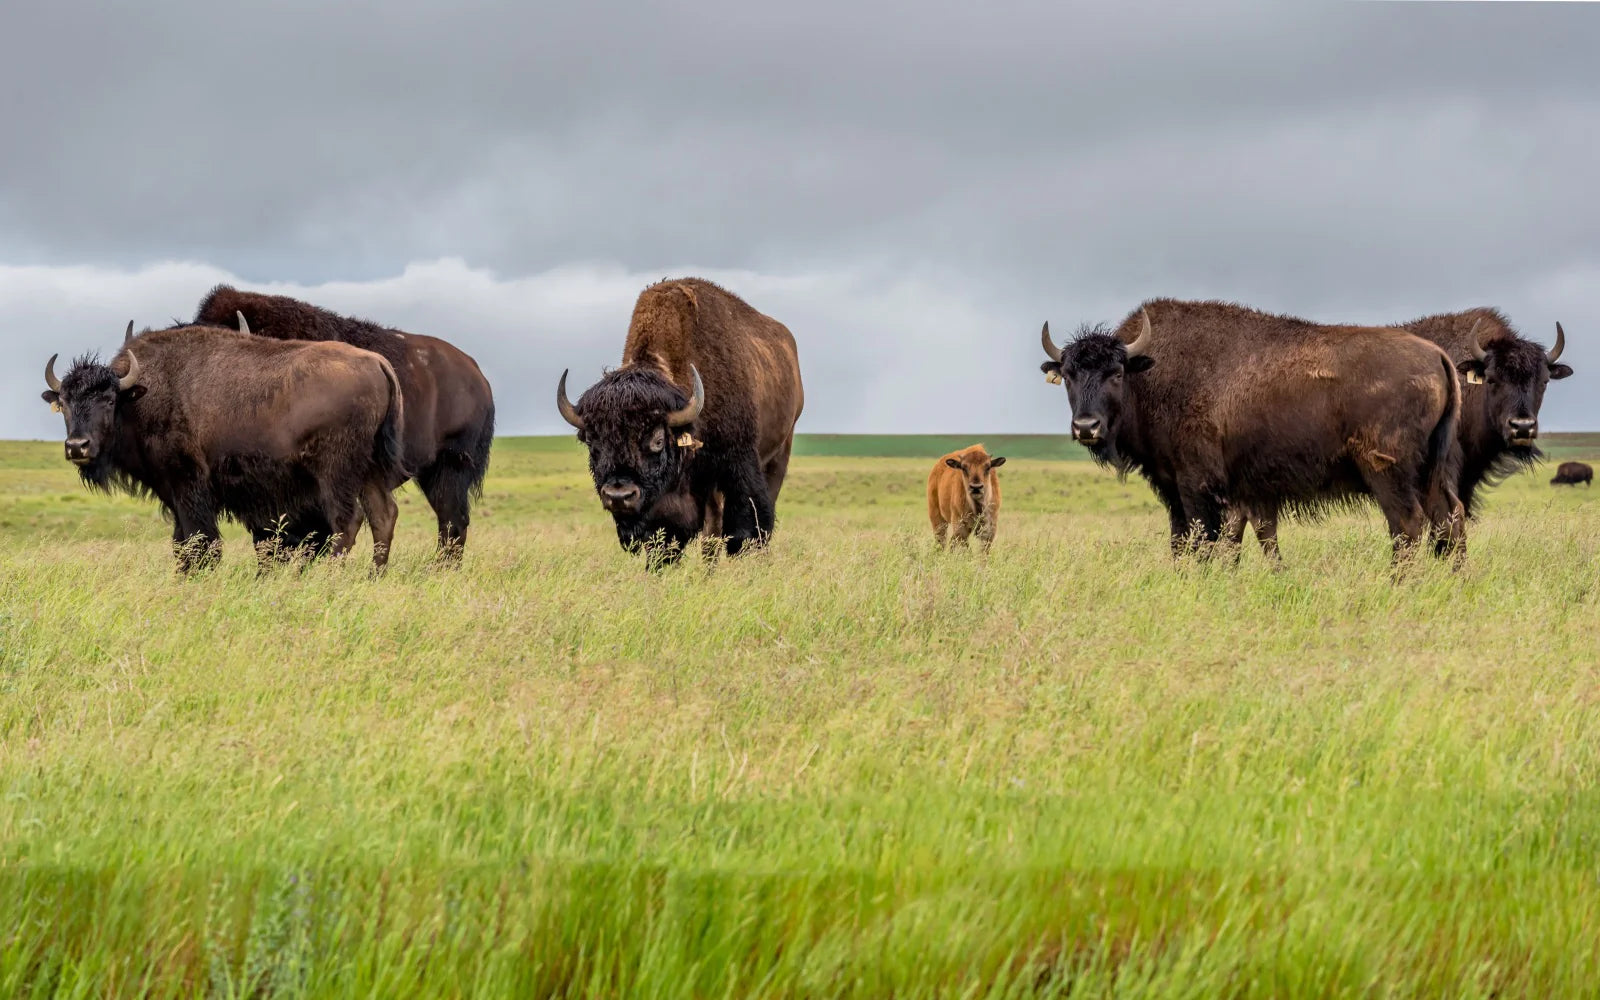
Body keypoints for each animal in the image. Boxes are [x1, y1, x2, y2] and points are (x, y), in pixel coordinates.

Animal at [42, 321, 407, 571]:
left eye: (108, 400)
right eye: (65, 403)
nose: (77, 446)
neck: (141, 396)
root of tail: (377, 362)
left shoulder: (189, 487)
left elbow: (200, 541)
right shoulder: (175, 495)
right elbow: (182, 542)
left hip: (336, 473)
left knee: (347, 521)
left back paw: (331, 576)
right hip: (371, 469)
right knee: (383, 515)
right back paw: (374, 576)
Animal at [556, 278, 804, 564]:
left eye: (658, 440)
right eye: (592, 443)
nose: (619, 495)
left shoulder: (738, 464)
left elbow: (745, 529)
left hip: (780, 450)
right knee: (711, 532)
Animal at [1038, 299, 1464, 564]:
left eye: (1116, 373)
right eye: (1069, 375)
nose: (1086, 427)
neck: (1151, 372)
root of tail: (1437, 356)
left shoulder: (1197, 486)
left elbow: (1204, 541)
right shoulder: (1188, 488)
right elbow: (1189, 542)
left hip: (1387, 472)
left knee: (1407, 525)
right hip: (1432, 470)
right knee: (1449, 518)